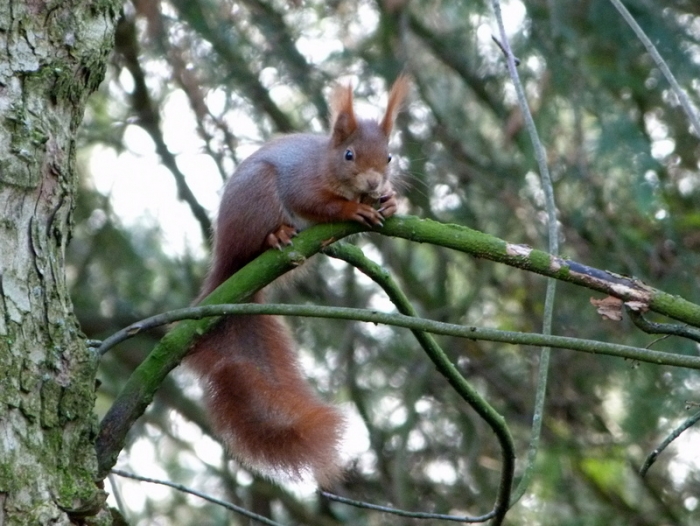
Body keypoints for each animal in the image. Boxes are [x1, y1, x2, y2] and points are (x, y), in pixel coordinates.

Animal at [185, 75, 409, 487]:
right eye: (349, 155)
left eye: (389, 157)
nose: (374, 183)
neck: (325, 162)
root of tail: (228, 266)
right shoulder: (302, 182)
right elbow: (316, 203)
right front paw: (353, 209)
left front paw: (390, 200)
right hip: (258, 197)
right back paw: (275, 237)